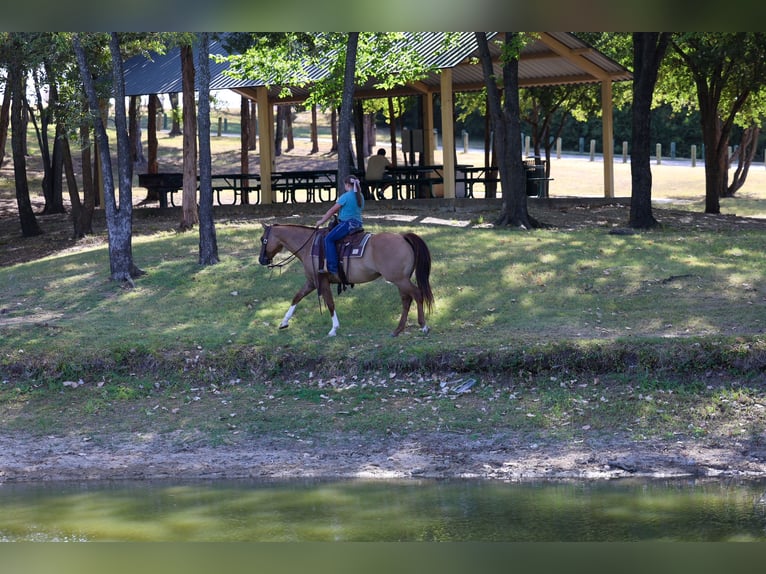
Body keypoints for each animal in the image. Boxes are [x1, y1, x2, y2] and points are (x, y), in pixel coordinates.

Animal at [258, 223, 434, 337]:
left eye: (262, 239)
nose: (261, 260)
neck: (309, 246)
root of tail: (402, 237)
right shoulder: (312, 282)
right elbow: (297, 297)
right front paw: (283, 322)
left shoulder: (321, 281)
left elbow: (330, 303)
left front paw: (334, 329)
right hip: (400, 280)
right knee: (406, 300)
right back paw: (398, 330)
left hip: (399, 279)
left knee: (417, 294)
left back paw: (423, 326)